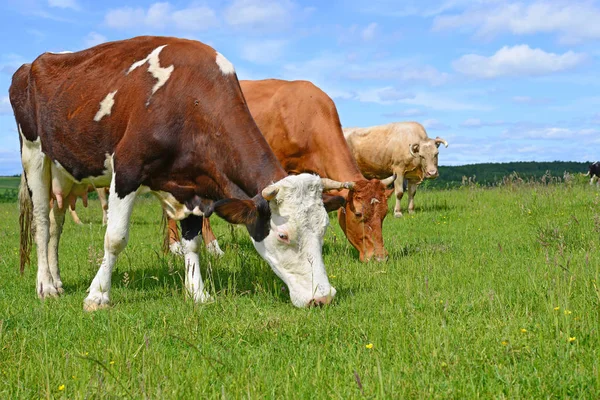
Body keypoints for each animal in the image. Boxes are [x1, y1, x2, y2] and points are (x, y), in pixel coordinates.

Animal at [10, 35, 346, 310]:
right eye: (283, 235)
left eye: (324, 229)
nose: (323, 297)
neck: (189, 99)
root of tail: (32, 63)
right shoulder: (127, 169)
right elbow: (115, 238)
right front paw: (98, 295)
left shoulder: (191, 186)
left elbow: (192, 241)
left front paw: (197, 293)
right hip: (35, 155)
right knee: (42, 222)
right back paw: (45, 285)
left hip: (65, 171)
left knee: (56, 223)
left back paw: (57, 280)